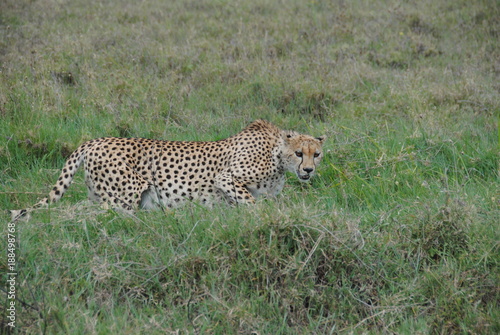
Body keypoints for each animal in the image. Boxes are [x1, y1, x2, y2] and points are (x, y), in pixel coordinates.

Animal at [10, 121, 328, 220]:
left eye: (317, 154)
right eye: (299, 153)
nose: (309, 170)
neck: (277, 155)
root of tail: (94, 140)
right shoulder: (226, 177)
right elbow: (252, 204)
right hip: (127, 193)